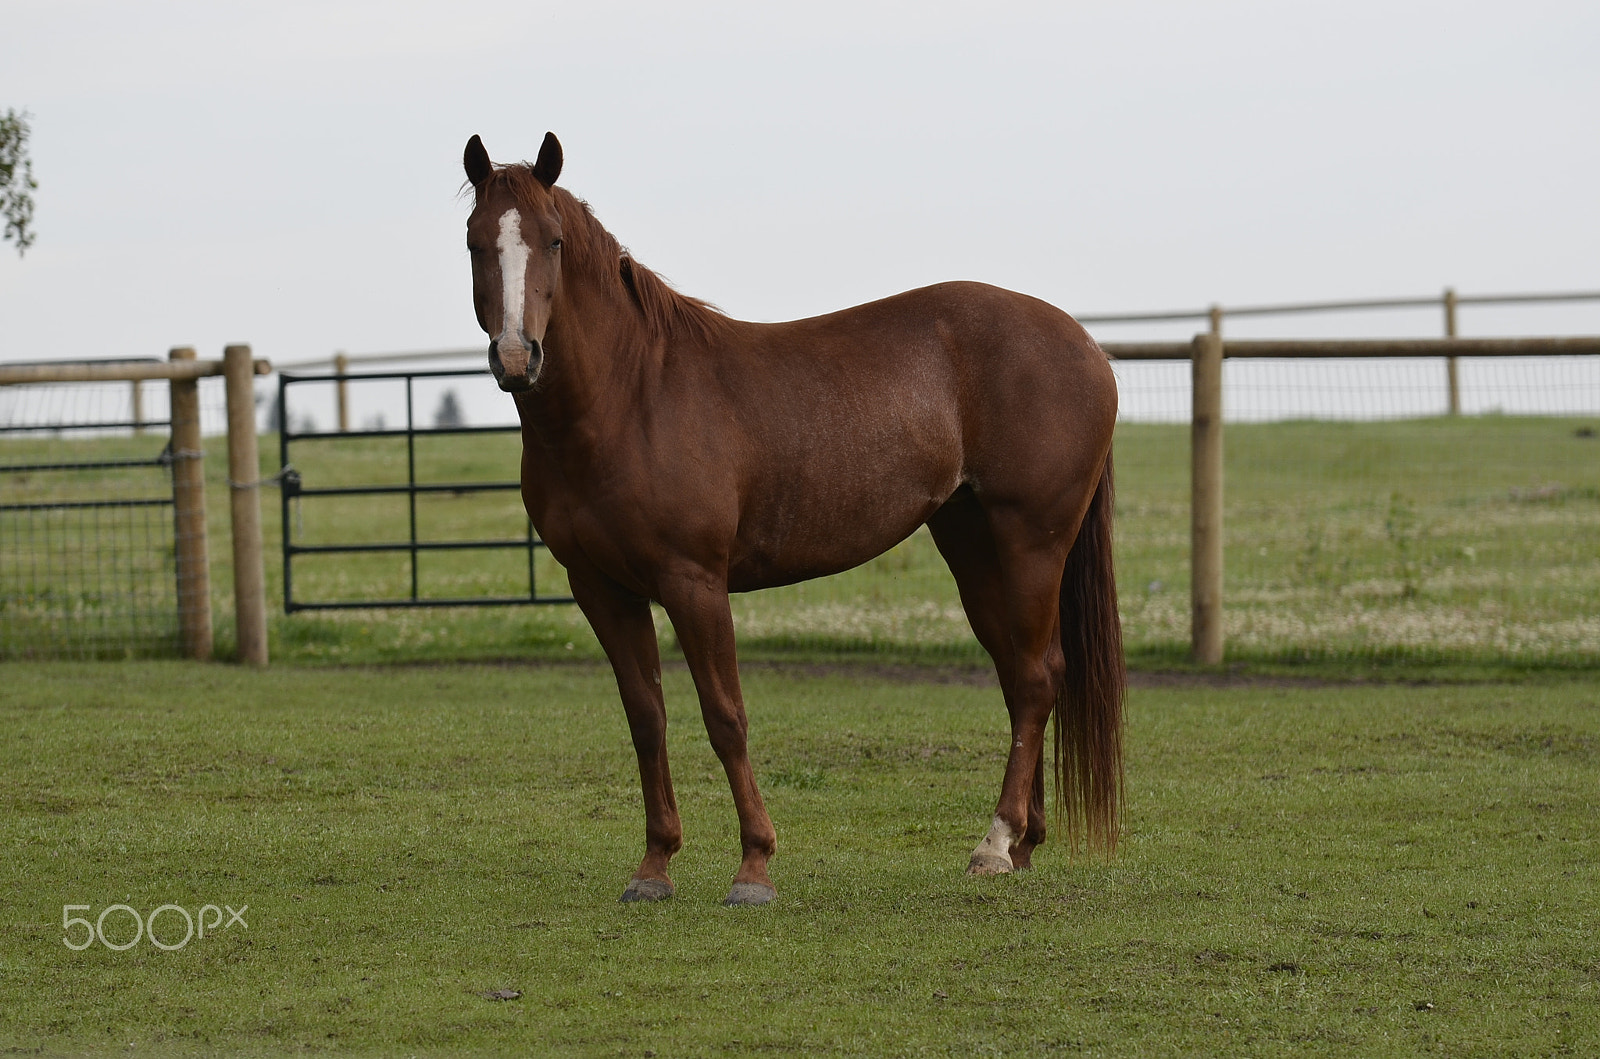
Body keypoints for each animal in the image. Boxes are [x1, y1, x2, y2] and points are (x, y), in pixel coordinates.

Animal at [463, 132, 1124, 906]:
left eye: (555, 241)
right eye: (475, 241)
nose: (517, 356)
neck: (631, 398)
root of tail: (1085, 346)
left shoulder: (693, 582)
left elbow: (725, 717)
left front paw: (753, 867)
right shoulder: (601, 587)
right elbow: (646, 718)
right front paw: (654, 866)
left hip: (1032, 541)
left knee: (1037, 679)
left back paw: (995, 843)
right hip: (973, 543)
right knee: (1023, 673)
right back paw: (1022, 843)